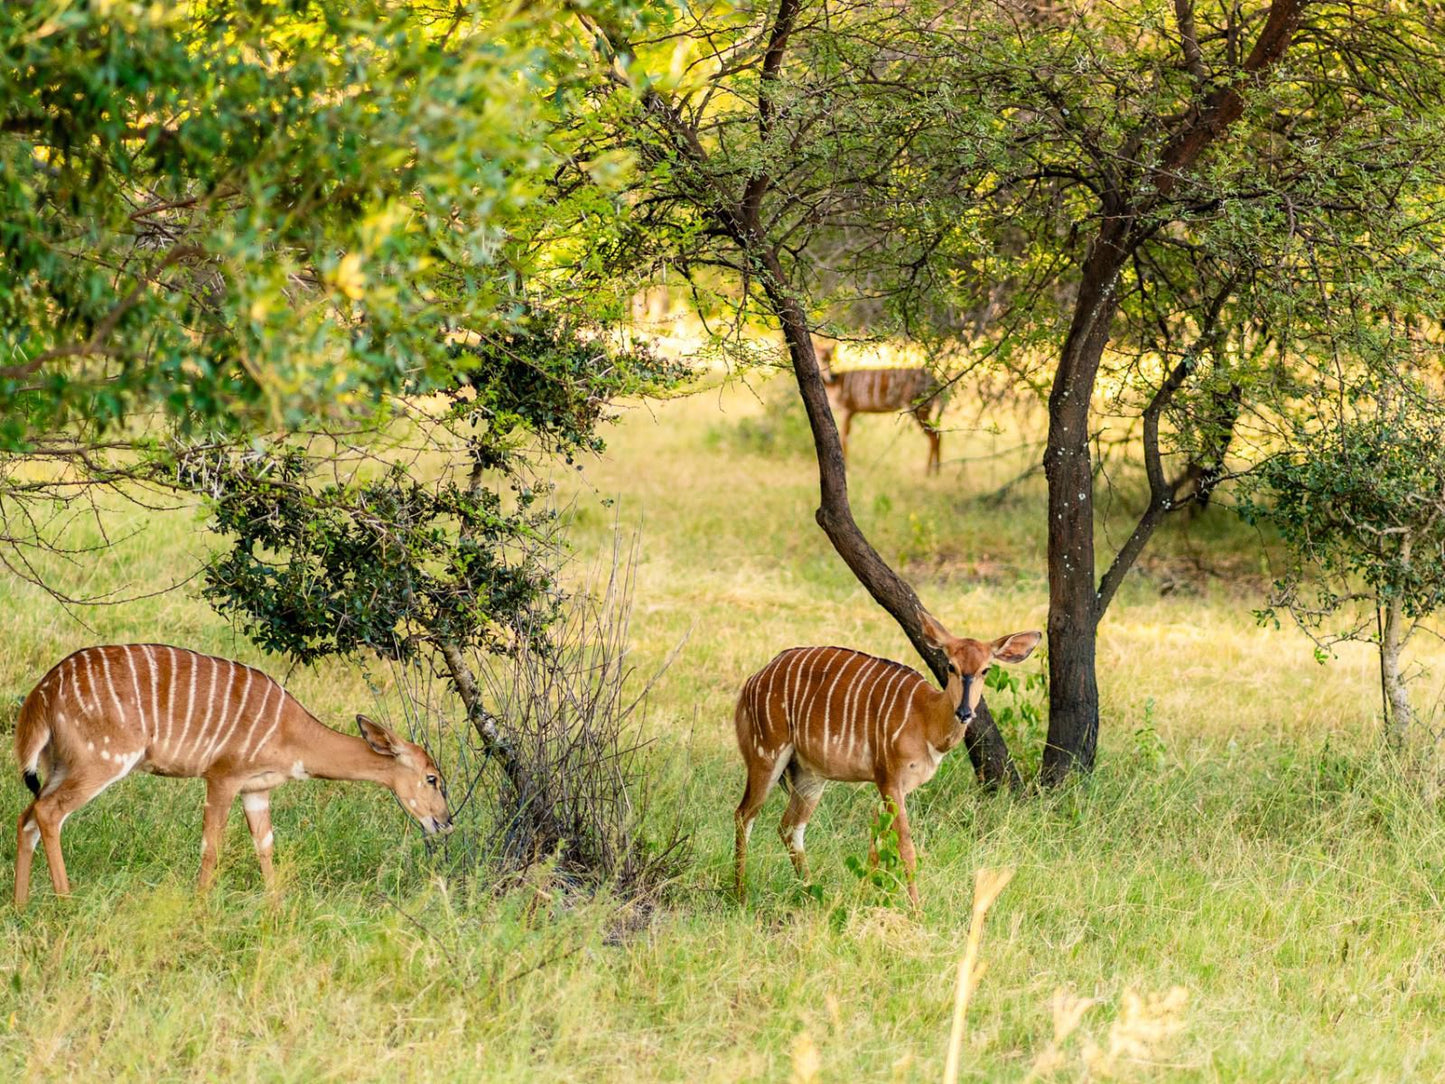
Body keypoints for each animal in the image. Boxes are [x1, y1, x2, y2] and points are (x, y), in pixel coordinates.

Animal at [12, 644, 450, 907]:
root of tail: (42, 694)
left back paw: (20, 904)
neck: (294, 732)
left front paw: (275, 906)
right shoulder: (222, 776)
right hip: (101, 760)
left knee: (27, 815)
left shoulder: (256, 789)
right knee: (49, 812)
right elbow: (213, 846)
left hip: (60, 764)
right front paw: (201, 905)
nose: (444, 822)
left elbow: (265, 845)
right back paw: (65, 899)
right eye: (433, 778)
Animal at [734, 612, 1040, 907]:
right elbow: (904, 845)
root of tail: (752, 681)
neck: (926, 717)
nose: (965, 712)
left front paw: (865, 897)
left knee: (789, 827)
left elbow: (877, 842)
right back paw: (741, 894)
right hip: (766, 755)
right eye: (951, 666)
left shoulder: (896, 787)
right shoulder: (889, 778)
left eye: (985, 669)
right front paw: (916, 910)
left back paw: (811, 892)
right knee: (744, 815)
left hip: (810, 777)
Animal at [814, 339, 947, 474]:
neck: (835, 385)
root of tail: (935, 381)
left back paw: (928, 472)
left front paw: (847, 468)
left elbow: (844, 437)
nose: (831, 376)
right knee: (938, 435)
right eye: (820, 357)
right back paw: (936, 472)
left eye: (829, 358)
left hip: (919, 408)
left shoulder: (848, 408)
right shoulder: (851, 411)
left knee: (933, 436)